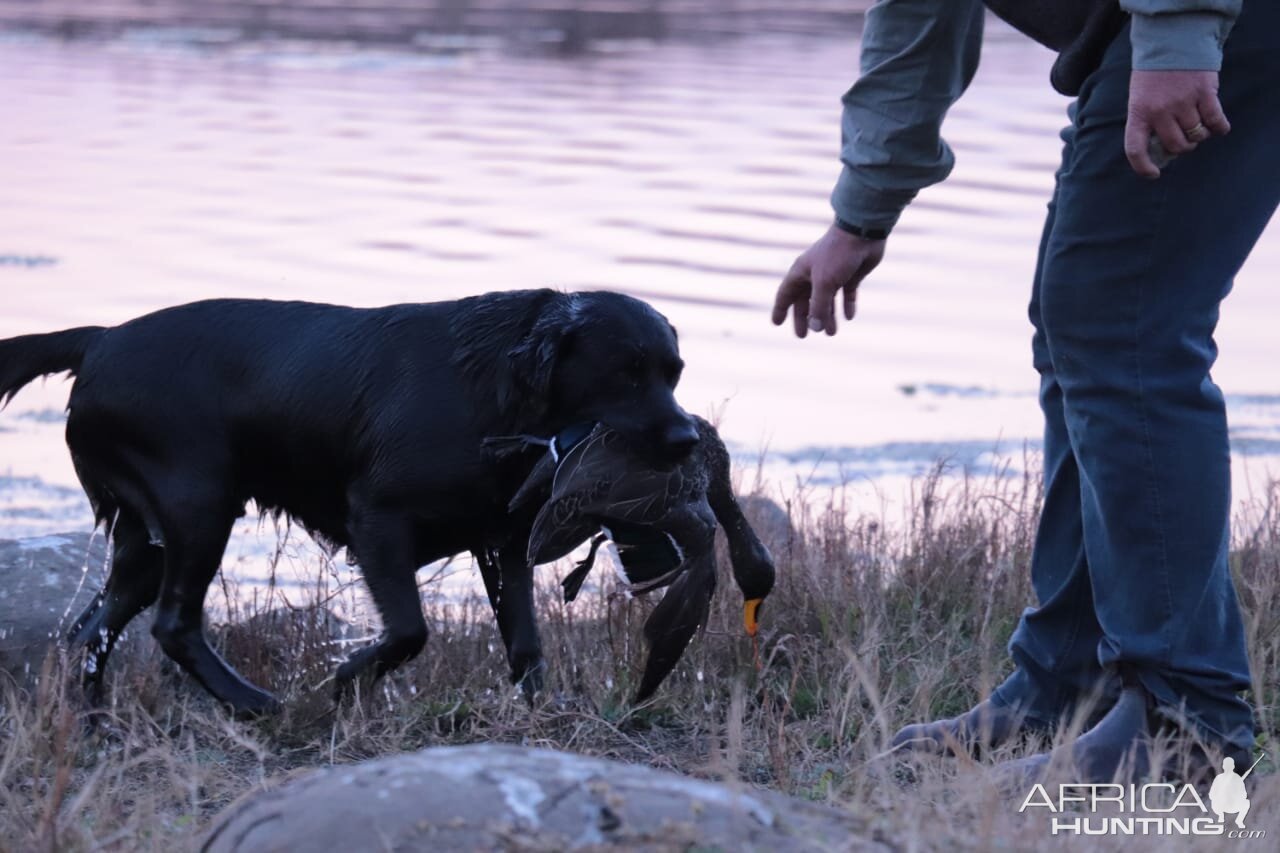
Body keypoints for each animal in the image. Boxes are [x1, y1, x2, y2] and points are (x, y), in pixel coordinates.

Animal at [0, 289, 696, 712]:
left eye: (675, 373)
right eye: (625, 372)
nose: (688, 439)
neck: (489, 389)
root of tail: (99, 338)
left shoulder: (501, 542)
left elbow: (526, 644)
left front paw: (542, 716)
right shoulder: (378, 521)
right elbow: (410, 631)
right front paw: (337, 686)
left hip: (150, 538)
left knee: (89, 632)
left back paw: (93, 723)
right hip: (198, 505)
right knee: (172, 624)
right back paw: (258, 706)